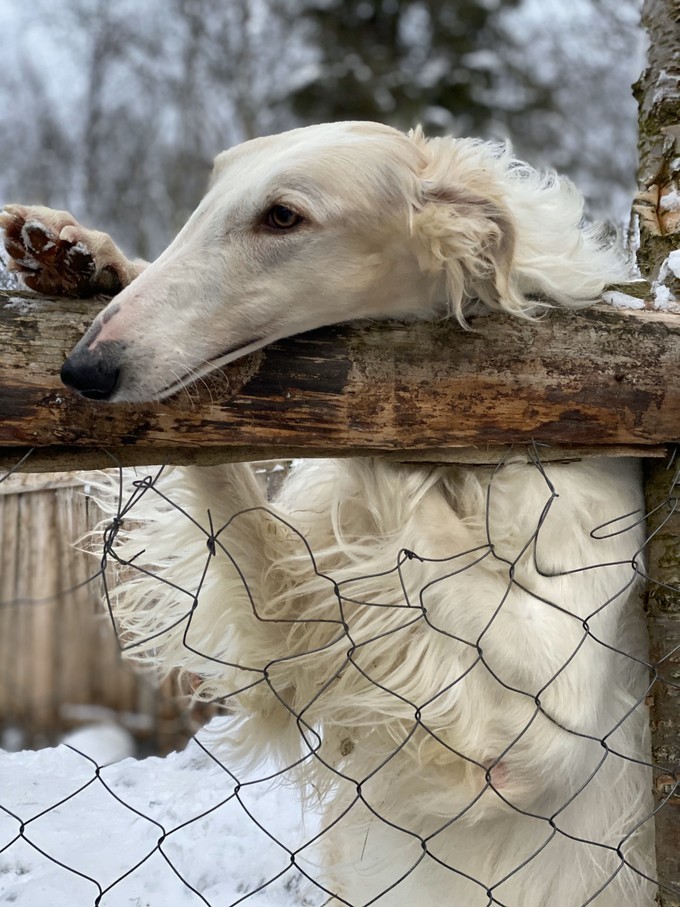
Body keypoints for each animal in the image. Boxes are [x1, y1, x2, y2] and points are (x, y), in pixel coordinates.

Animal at [1, 122, 660, 907]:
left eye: (283, 216)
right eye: (208, 196)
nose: (84, 370)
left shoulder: (546, 727)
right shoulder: (296, 629)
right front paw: (88, 255)